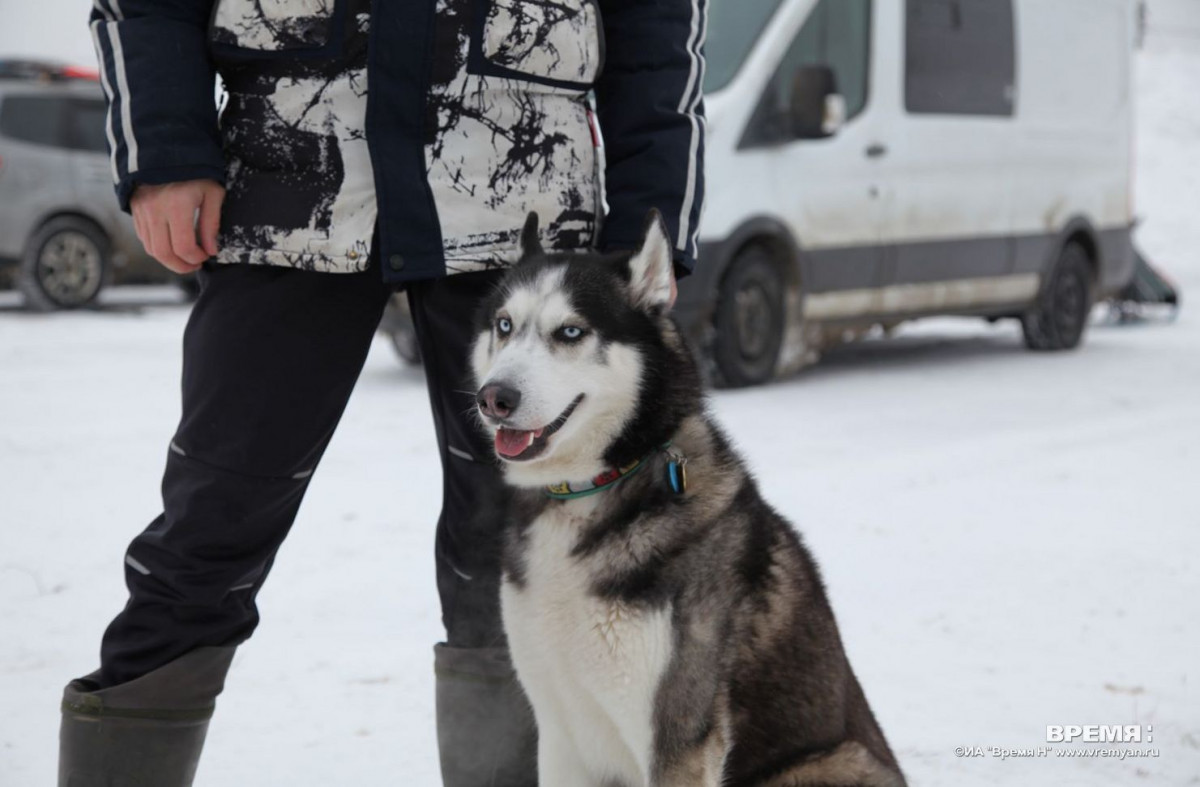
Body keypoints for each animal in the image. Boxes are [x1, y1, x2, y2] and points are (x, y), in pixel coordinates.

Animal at [468, 211, 902, 787]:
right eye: (504, 325)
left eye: (570, 332)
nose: (493, 398)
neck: (591, 490)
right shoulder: (560, 733)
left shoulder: (679, 736)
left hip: (825, 764)